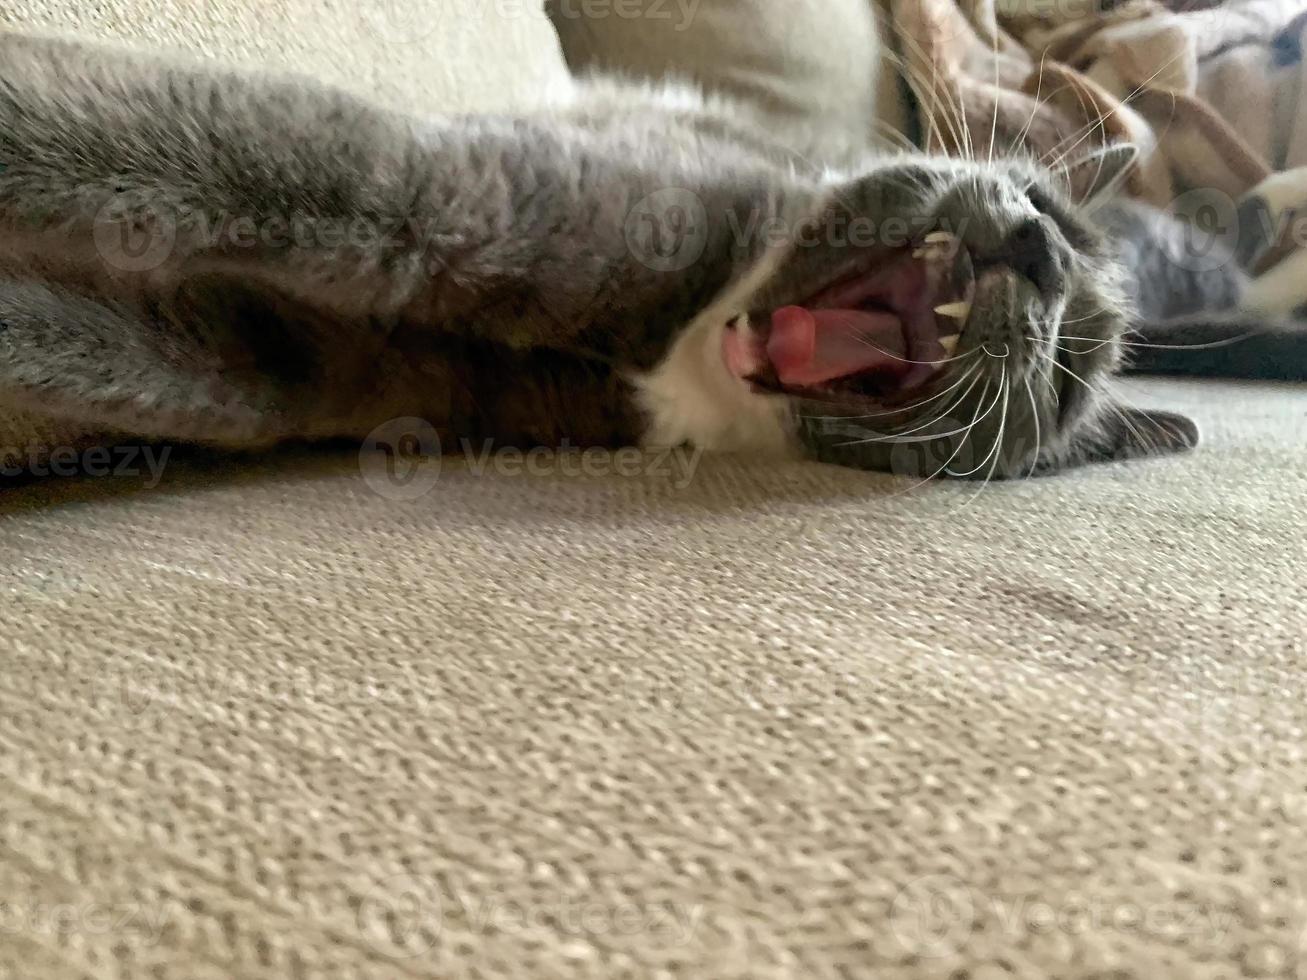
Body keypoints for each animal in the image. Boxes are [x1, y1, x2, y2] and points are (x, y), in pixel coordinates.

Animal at [0, 31, 1197, 488]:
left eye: (1064, 378)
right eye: (1046, 203)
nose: (1039, 248)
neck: (701, 357)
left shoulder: (317, 365)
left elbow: (151, 353)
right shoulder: (426, 197)